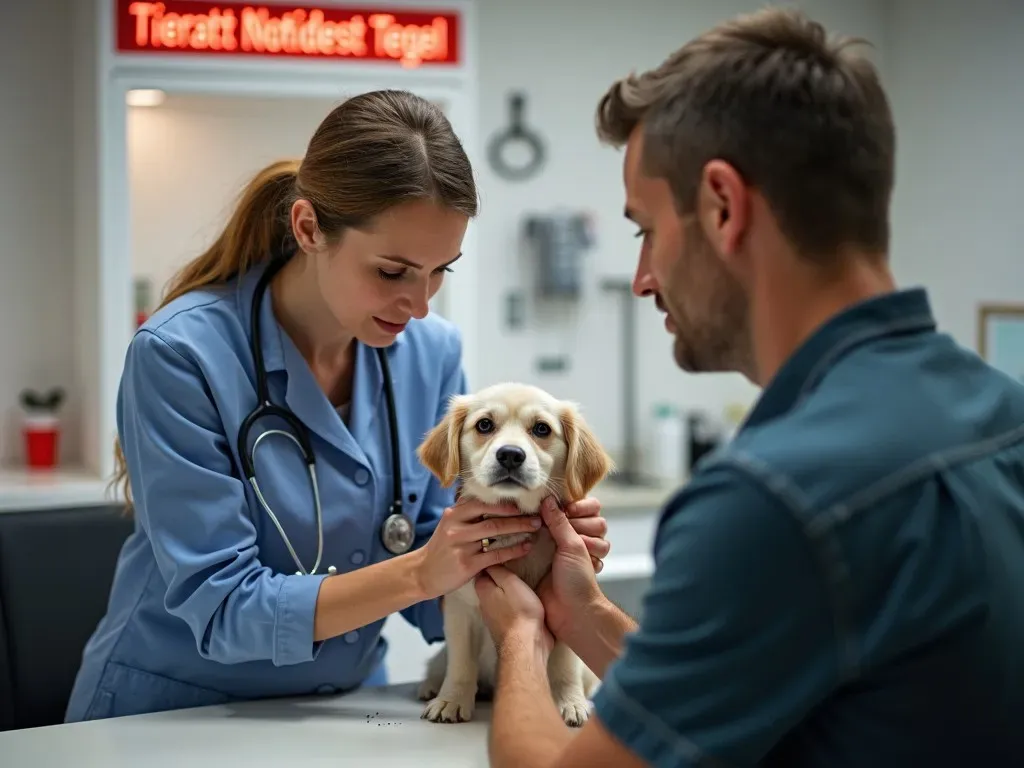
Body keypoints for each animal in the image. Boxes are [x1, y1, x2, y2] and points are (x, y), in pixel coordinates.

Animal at [413, 382, 610, 729]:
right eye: (484, 425)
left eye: (542, 429)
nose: (510, 454)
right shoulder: (460, 608)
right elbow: (461, 662)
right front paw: (452, 700)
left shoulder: (565, 610)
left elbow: (563, 664)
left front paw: (569, 702)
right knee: (441, 664)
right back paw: (432, 686)